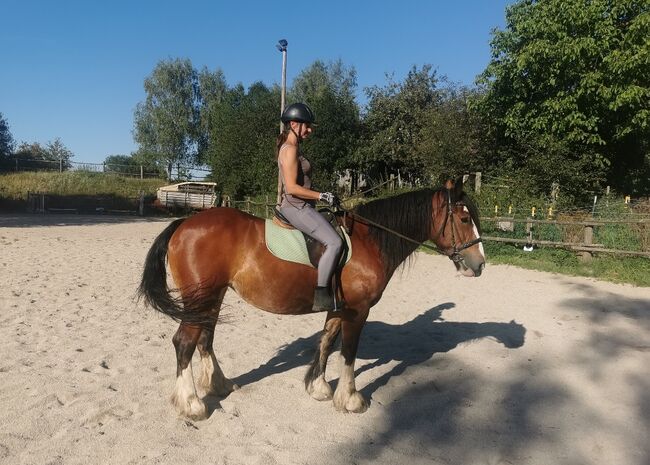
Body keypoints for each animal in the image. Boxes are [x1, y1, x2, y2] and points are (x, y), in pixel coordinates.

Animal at [139, 178, 484, 416]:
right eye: (465, 219)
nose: (479, 265)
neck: (368, 241)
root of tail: (185, 223)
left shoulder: (339, 308)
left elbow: (327, 342)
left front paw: (318, 387)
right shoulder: (357, 311)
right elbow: (348, 352)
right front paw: (350, 399)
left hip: (212, 297)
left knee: (204, 338)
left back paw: (218, 385)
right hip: (202, 298)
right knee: (184, 341)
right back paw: (192, 404)